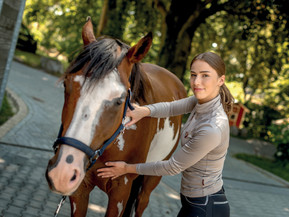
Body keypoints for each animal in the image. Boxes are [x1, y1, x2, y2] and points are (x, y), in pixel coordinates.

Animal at [44, 17, 186, 217]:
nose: (62, 173)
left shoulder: (120, 190)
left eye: (120, 100)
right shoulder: (80, 188)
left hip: (151, 179)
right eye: (66, 84)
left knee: (141, 203)